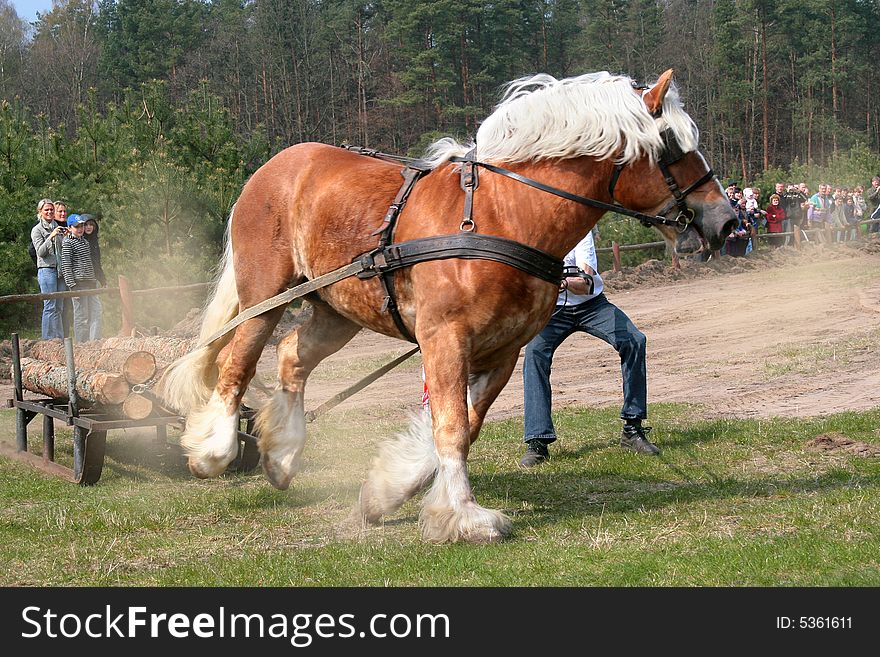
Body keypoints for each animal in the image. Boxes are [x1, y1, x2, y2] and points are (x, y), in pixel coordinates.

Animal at [160, 70, 736, 544]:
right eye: (671, 144)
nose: (727, 220)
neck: (506, 215)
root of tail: (274, 166)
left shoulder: (502, 351)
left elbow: (466, 424)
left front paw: (388, 493)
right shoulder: (444, 338)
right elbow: (452, 427)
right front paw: (464, 516)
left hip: (337, 311)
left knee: (291, 359)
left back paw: (281, 456)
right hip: (265, 295)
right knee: (237, 362)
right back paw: (213, 452)